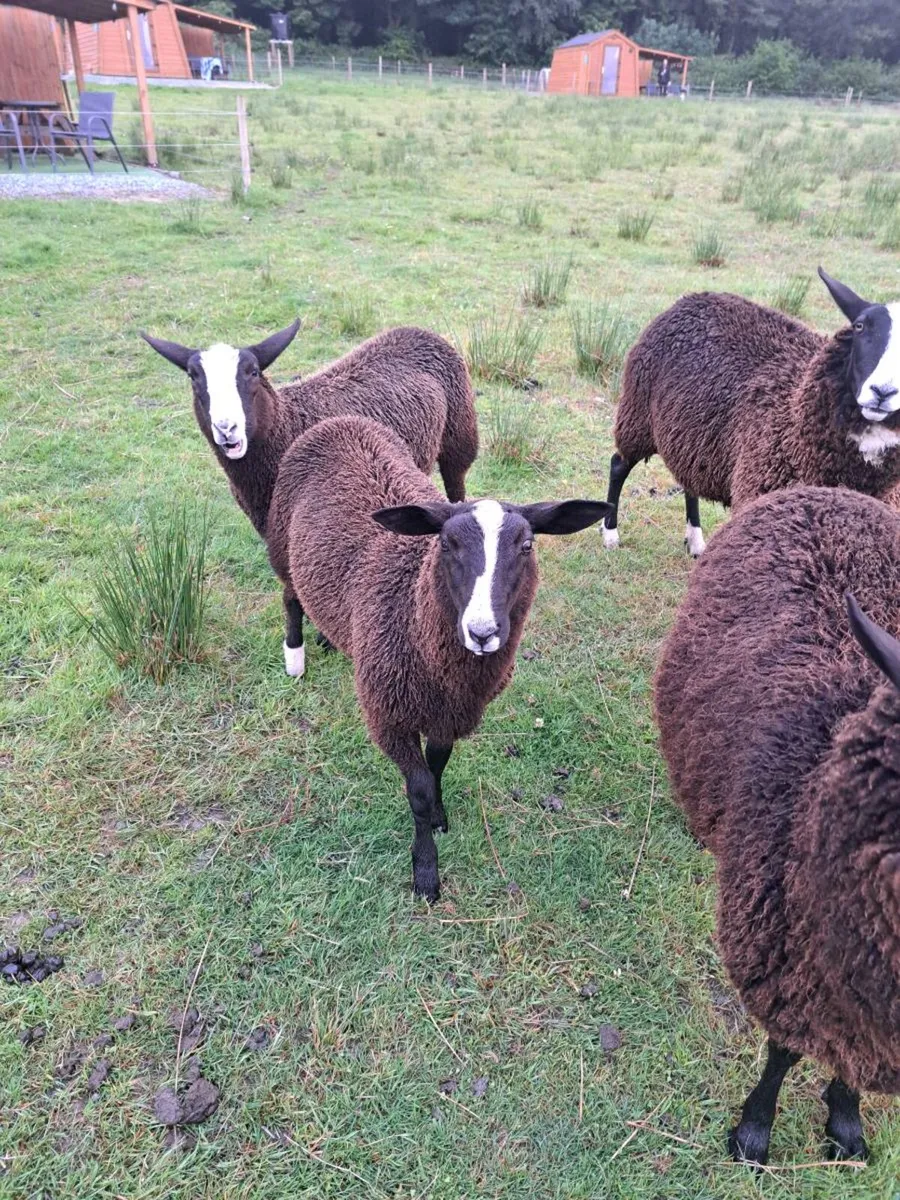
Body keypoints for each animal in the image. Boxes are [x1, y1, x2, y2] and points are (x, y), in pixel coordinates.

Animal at [141, 321, 479, 677]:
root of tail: (417, 330)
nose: (226, 428)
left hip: (459, 438)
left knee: (456, 488)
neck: (286, 426)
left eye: (253, 372)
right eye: (194, 377)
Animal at [266, 414, 611, 902]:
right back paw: (295, 656)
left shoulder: (449, 713)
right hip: (281, 546)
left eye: (527, 546)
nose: (483, 633)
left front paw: (441, 818)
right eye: (446, 544)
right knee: (290, 598)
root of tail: (340, 421)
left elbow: (438, 765)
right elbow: (420, 790)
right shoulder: (389, 716)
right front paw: (426, 871)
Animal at [603, 268, 900, 555]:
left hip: (689, 435)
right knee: (618, 464)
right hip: (638, 415)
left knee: (688, 481)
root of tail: (691, 298)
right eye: (859, 326)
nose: (883, 391)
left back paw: (696, 542)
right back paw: (610, 535)